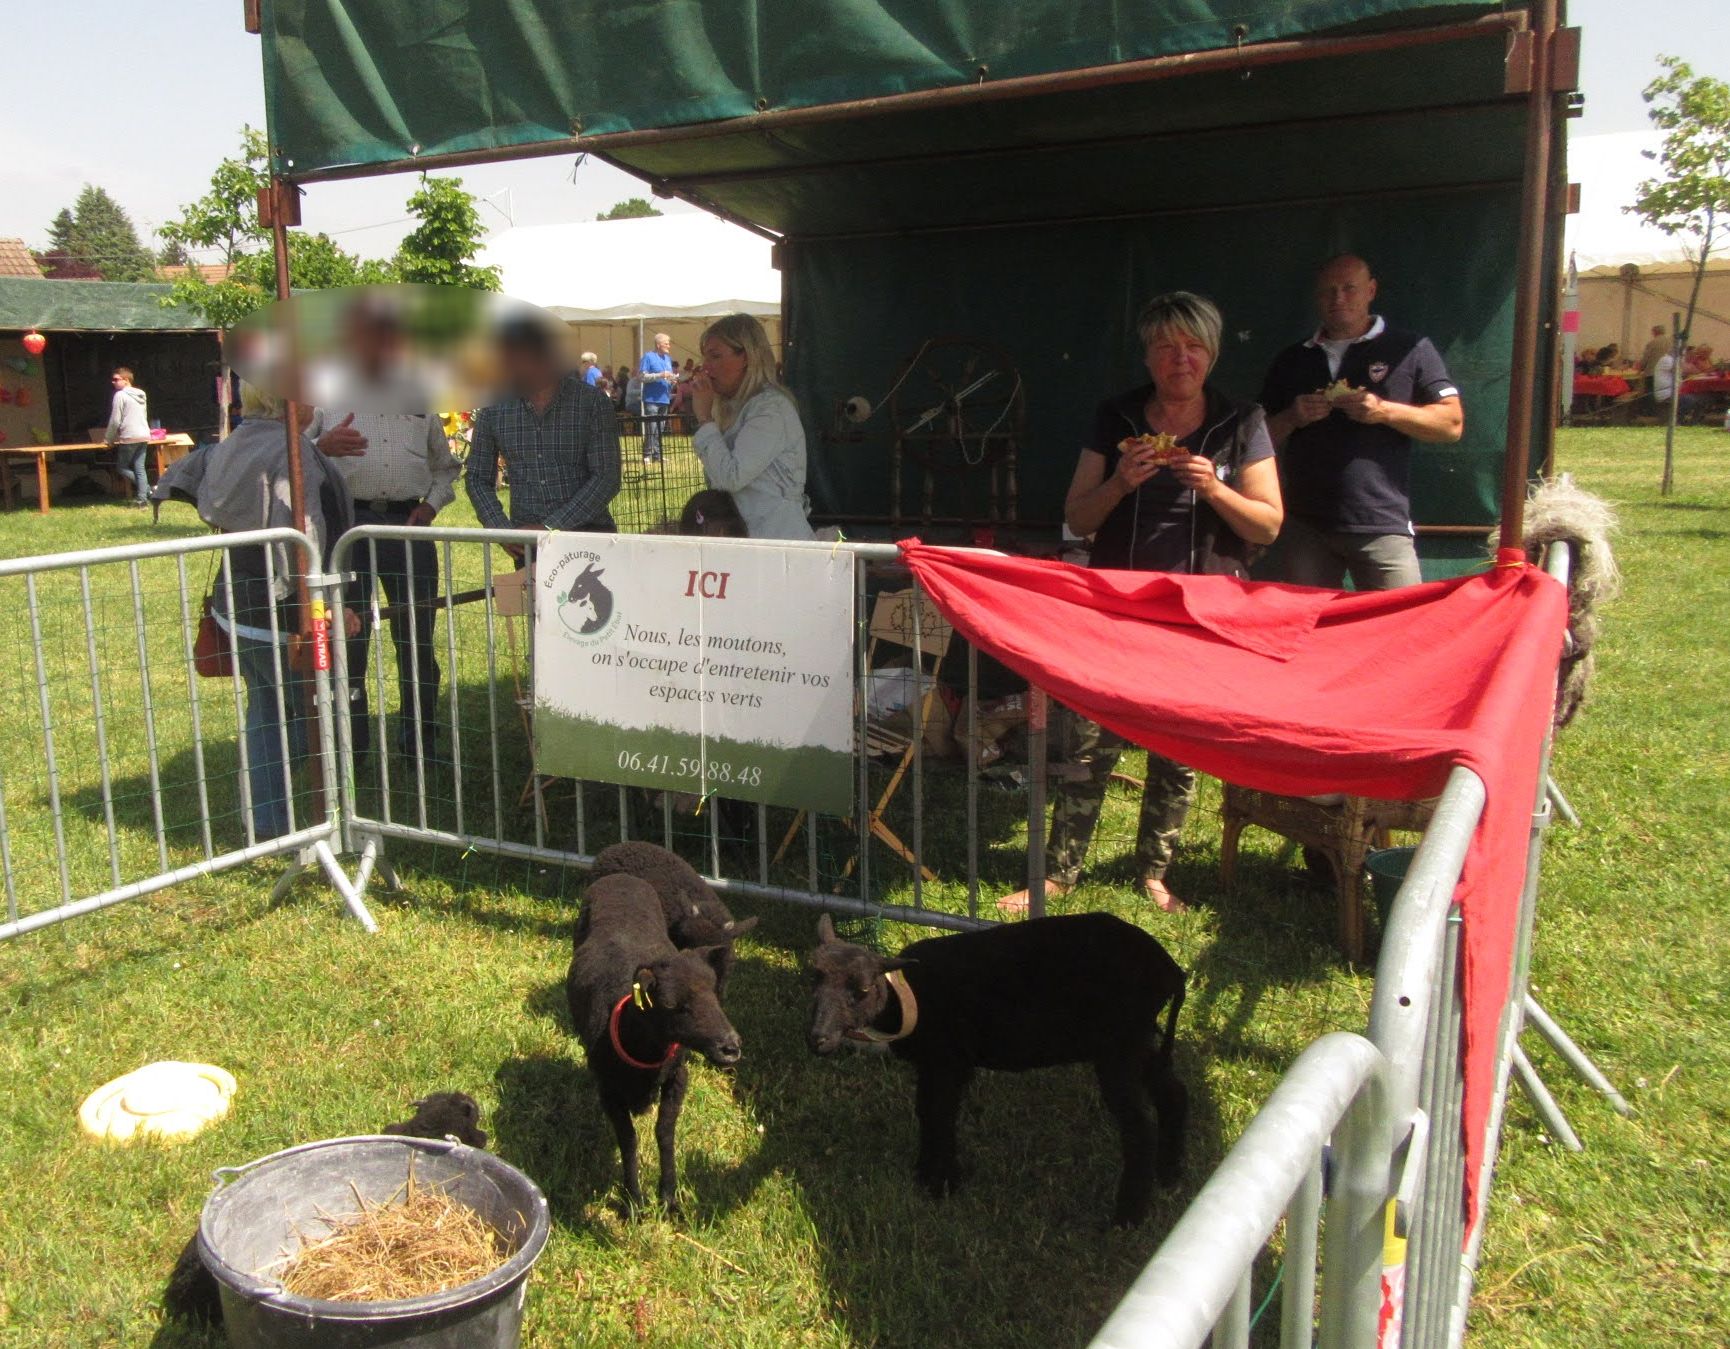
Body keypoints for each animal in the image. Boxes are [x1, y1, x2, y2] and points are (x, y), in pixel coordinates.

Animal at [567, 875, 736, 1210]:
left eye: (714, 993)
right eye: (670, 1004)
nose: (730, 1047)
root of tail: (620, 879)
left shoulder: (678, 1077)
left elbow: (664, 1133)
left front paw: (668, 1197)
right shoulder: (609, 1091)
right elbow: (628, 1140)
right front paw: (633, 1202)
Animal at [809, 913, 1190, 1224]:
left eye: (862, 989)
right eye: (811, 979)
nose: (818, 1039)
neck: (904, 1000)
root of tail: (1171, 970)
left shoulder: (948, 1062)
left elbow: (940, 1114)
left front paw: (941, 1182)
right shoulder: (935, 1064)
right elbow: (927, 1112)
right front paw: (926, 1173)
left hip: (1119, 1046)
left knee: (1139, 1127)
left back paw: (1128, 1216)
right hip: (1140, 1042)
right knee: (1174, 1094)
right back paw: (1169, 1173)